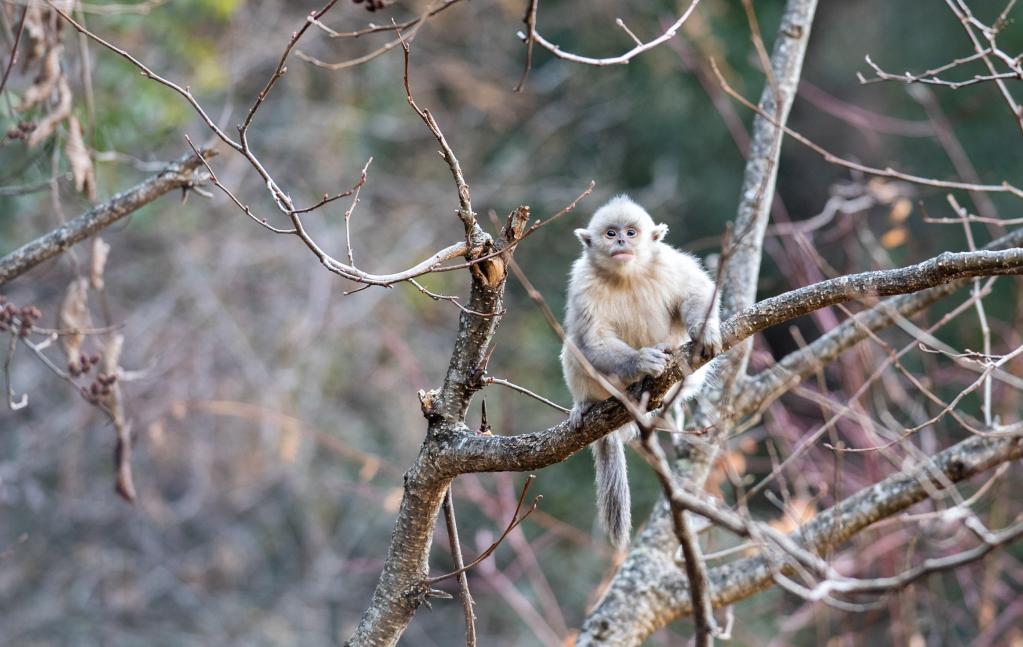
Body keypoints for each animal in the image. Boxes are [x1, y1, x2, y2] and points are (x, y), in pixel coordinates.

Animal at [564, 194, 724, 548]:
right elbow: (592, 339)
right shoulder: (583, 281)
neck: (627, 275)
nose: (621, 242)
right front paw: (642, 362)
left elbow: (697, 289)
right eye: (610, 233)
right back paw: (588, 402)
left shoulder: (668, 262)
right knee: (574, 344)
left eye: (631, 232)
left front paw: (704, 331)